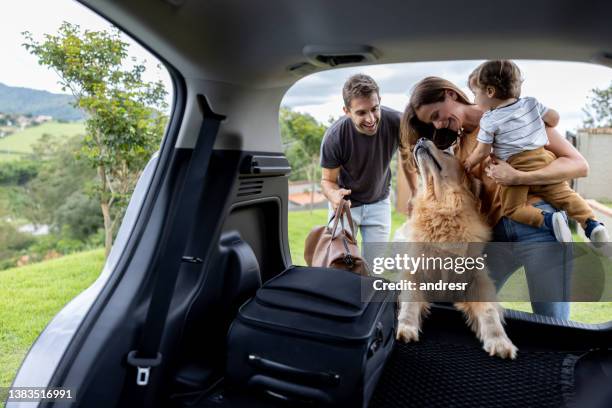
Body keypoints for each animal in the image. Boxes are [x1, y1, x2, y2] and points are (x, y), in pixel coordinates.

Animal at [396, 138, 516, 360]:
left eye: (447, 153)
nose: (421, 139)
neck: (442, 207)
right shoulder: (414, 273)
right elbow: (410, 302)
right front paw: (406, 327)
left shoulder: (478, 280)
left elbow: (489, 311)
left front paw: (499, 340)